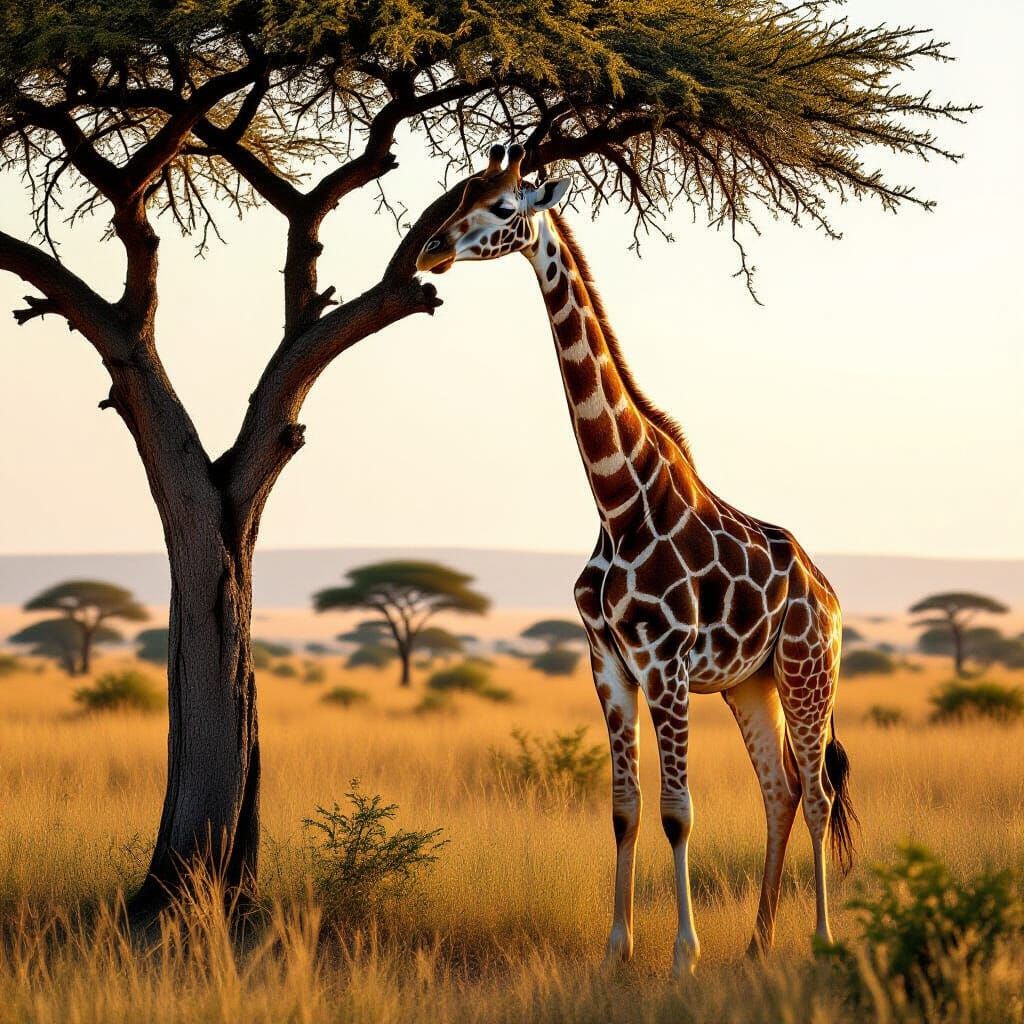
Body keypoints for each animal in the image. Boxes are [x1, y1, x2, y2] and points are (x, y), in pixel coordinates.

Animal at [416, 144, 857, 976]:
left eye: (502, 207)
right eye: (456, 192)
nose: (428, 249)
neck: (617, 501)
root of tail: (831, 596)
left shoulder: (667, 662)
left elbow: (678, 812)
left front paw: (682, 954)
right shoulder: (609, 661)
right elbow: (624, 809)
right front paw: (615, 948)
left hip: (806, 669)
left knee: (815, 793)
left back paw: (819, 940)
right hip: (749, 683)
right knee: (780, 790)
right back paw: (756, 944)